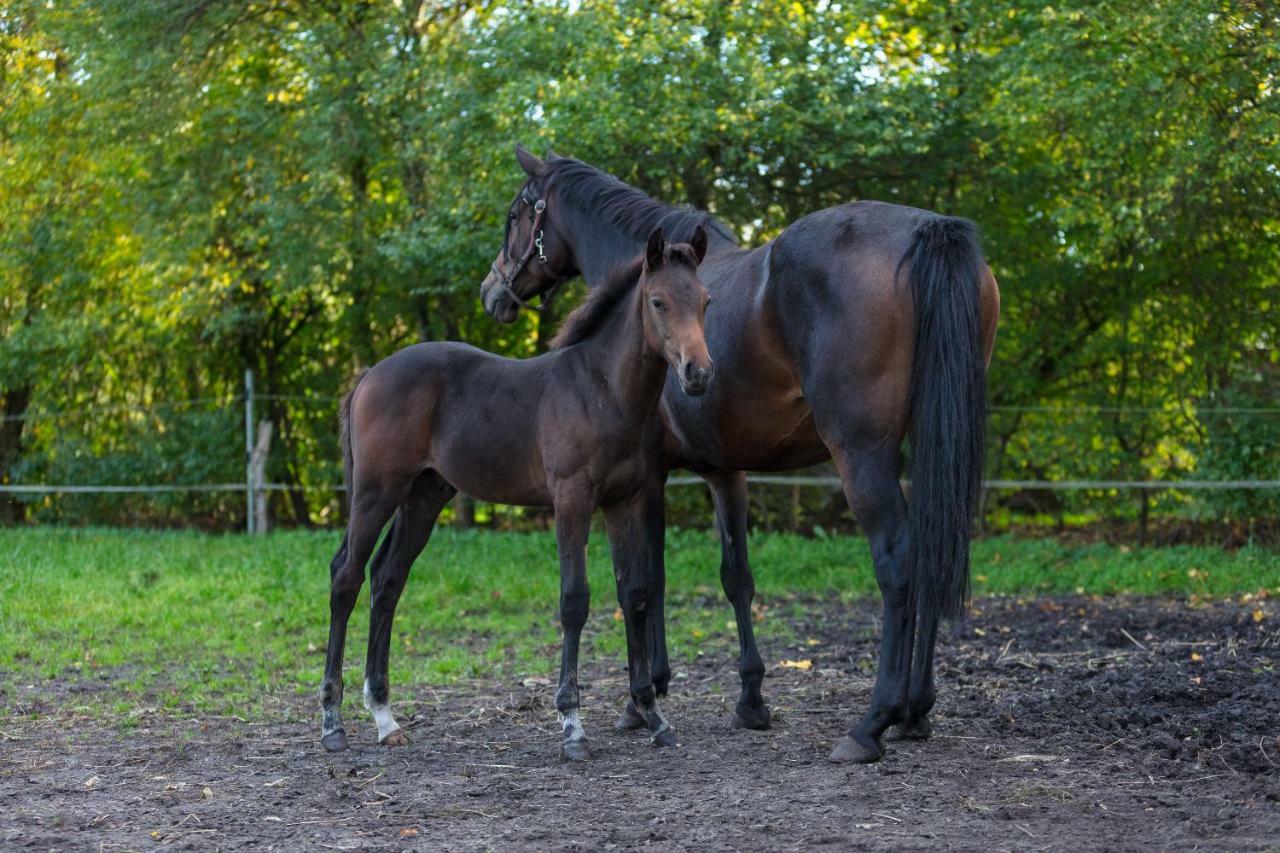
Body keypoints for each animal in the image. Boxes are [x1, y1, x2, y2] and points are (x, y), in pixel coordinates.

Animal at [478, 146, 998, 763]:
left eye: (516, 214)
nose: (492, 292)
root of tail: (928, 230)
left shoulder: (648, 478)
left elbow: (647, 580)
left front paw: (643, 699)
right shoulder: (726, 472)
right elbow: (736, 578)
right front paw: (751, 698)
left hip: (861, 455)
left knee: (897, 561)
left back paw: (873, 723)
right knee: (931, 553)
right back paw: (916, 712)